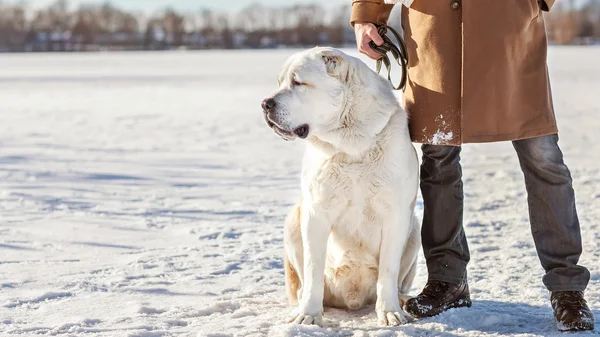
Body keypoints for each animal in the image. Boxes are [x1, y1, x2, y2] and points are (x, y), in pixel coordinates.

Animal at [262, 47, 422, 326]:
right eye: (280, 83)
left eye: (298, 82)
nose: (265, 104)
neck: (350, 146)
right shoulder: (315, 213)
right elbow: (313, 268)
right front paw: (308, 315)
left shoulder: (397, 215)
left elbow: (388, 271)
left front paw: (390, 311)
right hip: (293, 219)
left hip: (415, 227)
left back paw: (403, 301)